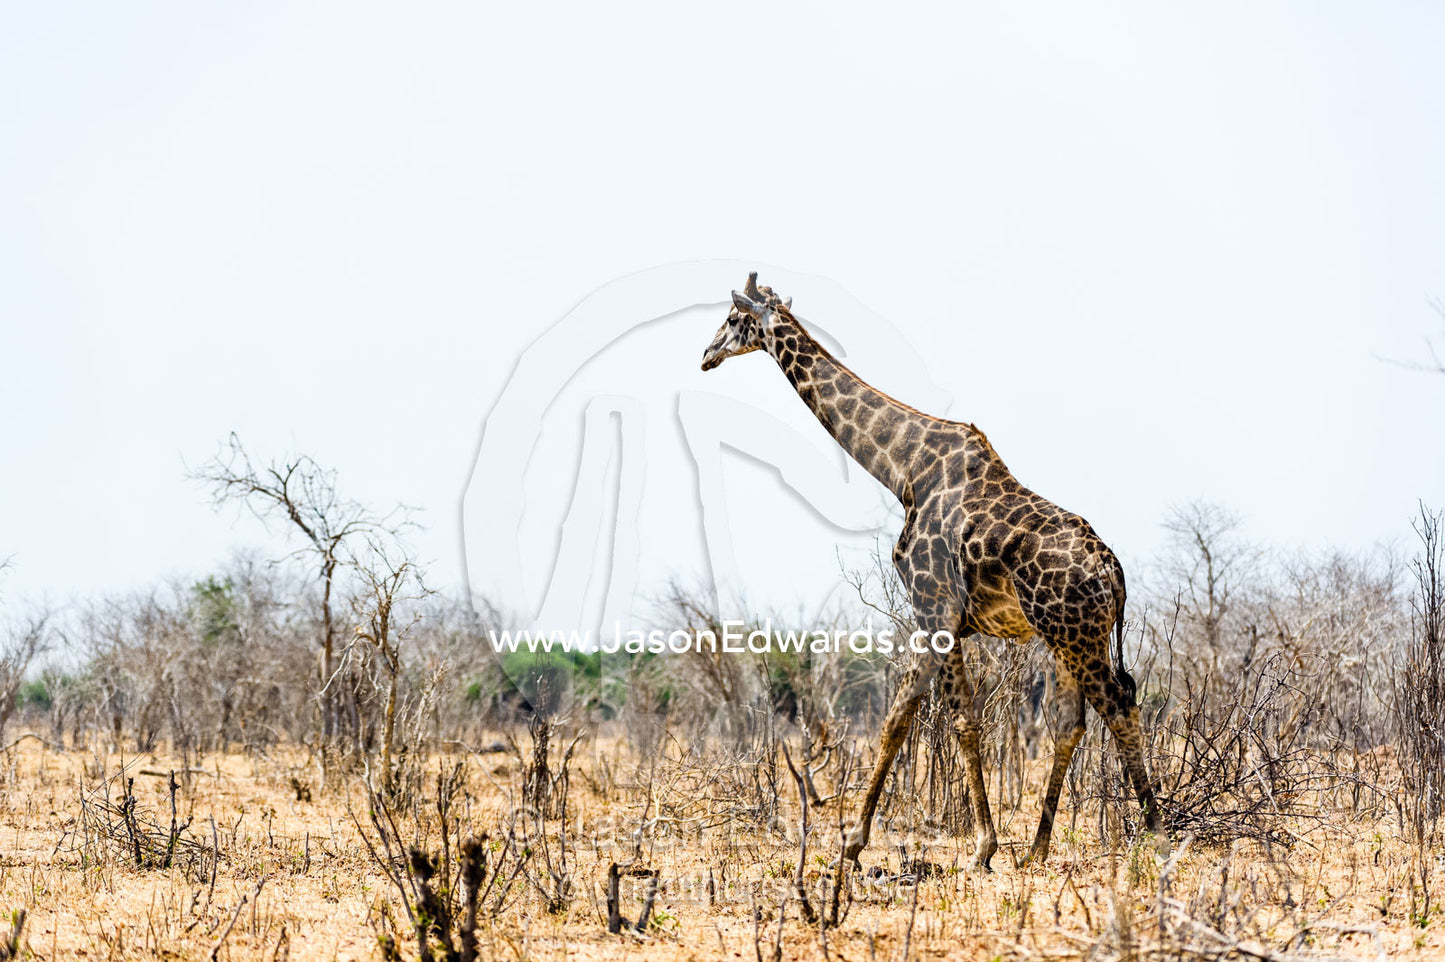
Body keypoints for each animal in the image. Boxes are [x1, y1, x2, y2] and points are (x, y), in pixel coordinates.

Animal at [700, 273, 1165, 871]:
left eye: (733, 318)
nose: (706, 354)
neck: (903, 470)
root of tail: (1113, 571)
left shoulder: (934, 608)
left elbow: (948, 719)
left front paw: (975, 847)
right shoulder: (939, 619)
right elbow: (913, 719)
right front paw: (860, 842)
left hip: (1073, 632)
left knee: (1119, 705)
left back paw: (1156, 834)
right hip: (1069, 636)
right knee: (1071, 723)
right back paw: (1037, 851)